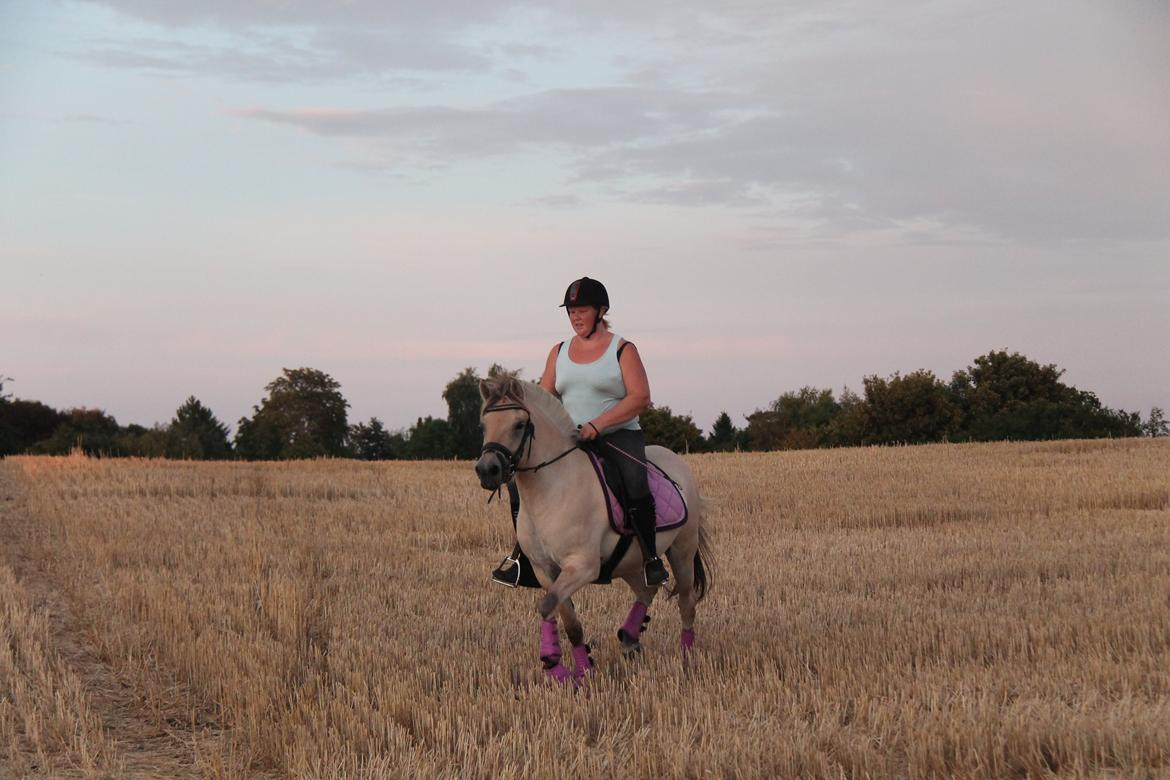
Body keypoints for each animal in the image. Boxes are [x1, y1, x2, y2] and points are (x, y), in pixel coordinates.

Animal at [475, 374, 711, 687]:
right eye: (484, 425)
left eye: (519, 424)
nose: (486, 470)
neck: (553, 487)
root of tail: (676, 460)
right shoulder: (545, 570)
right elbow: (566, 618)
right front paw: (578, 668)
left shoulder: (582, 567)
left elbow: (547, 606)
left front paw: (559, 666)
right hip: (632, 561)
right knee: (647, 589)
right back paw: (630, 638)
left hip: (682, 551)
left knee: (686, 602)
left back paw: (686, 658)